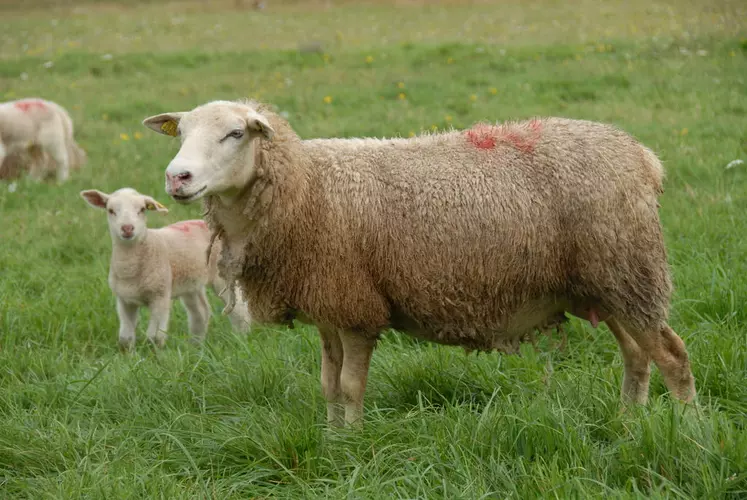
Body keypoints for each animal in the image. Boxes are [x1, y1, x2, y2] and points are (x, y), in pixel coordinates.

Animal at [80, 185, 251, 352]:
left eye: (142, 209)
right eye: (110, 210)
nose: (127, 228)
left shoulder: (160, 296)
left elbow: (154, 337)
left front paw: (155, 355)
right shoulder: (125, 300)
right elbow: (125, 338)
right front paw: (129, 356)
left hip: (223, 276)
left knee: (239, 311)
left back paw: (241, 340)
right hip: (190, 283)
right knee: (201, 312)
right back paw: (195, 347)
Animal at [143, 98, 700, 426]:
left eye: (235, 134)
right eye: (181, 133)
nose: (177, 177)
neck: (307, 188)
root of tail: (643, 157)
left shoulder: (356, 307)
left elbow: (350, 386)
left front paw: (352, 446)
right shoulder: (329, 305)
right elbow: (328, 385)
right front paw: (332, 439)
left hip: (627, 268)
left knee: (672, 356)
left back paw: (688, 432)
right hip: (604, 285)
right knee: (638, 355)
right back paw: (629, 425)